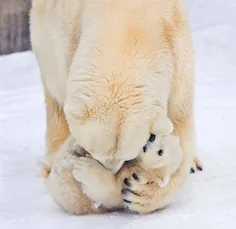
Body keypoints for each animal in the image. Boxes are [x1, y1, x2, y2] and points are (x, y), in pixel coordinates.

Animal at [30, 0, 202, 215]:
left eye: (126, 155)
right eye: (94, 151)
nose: (111, 169)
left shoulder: (177, 54)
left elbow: (180, 126)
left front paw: (140, 193)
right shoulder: (64, 35)